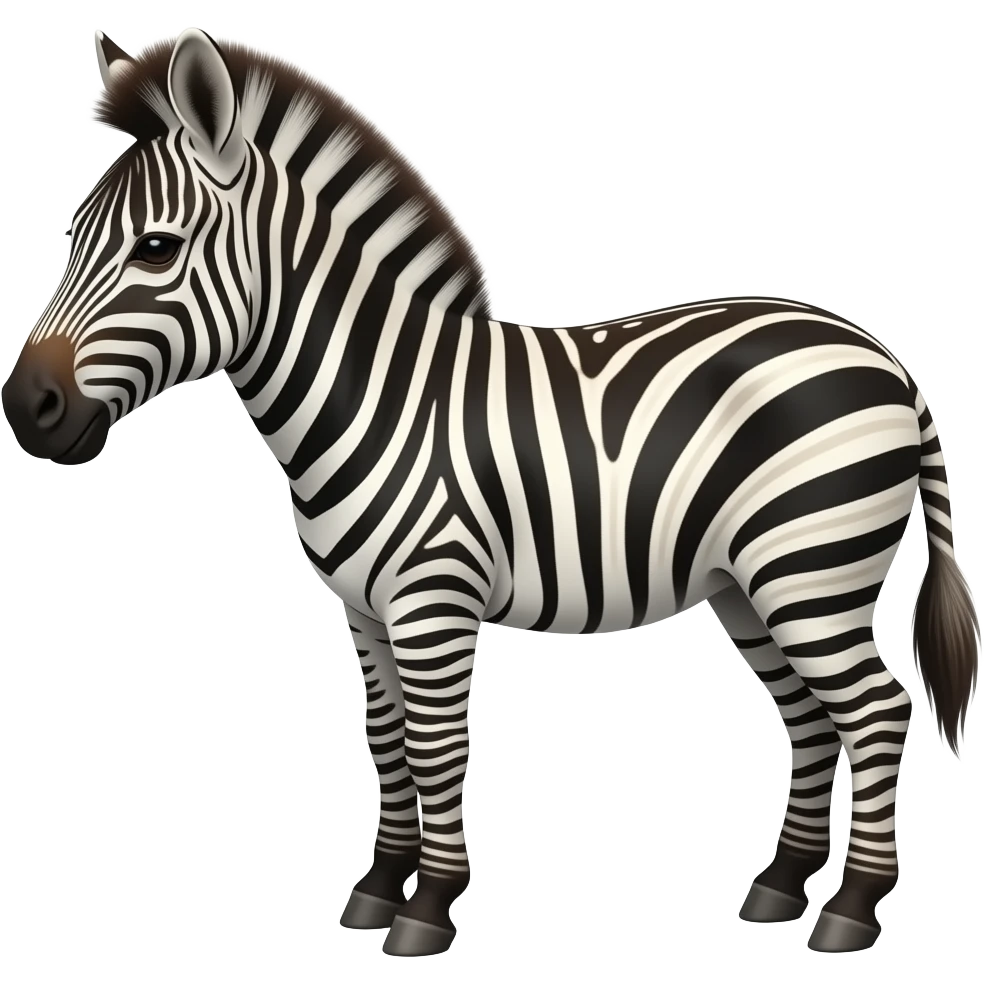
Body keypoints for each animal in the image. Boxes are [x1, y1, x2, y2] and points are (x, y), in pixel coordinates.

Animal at [2, 28, 980, 959]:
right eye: (70, 241)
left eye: (155, 249)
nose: (26, 409)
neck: (378, 393)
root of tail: (886, 358)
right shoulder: (364, 610)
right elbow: (387, 739)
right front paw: (376, 889)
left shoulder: (433, 600)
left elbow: (437, 748)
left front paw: (428, 909)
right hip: (752, 586)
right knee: (811, 719)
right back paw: (780, 886)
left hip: (811, 570)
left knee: (877, 711)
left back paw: (849, 910)